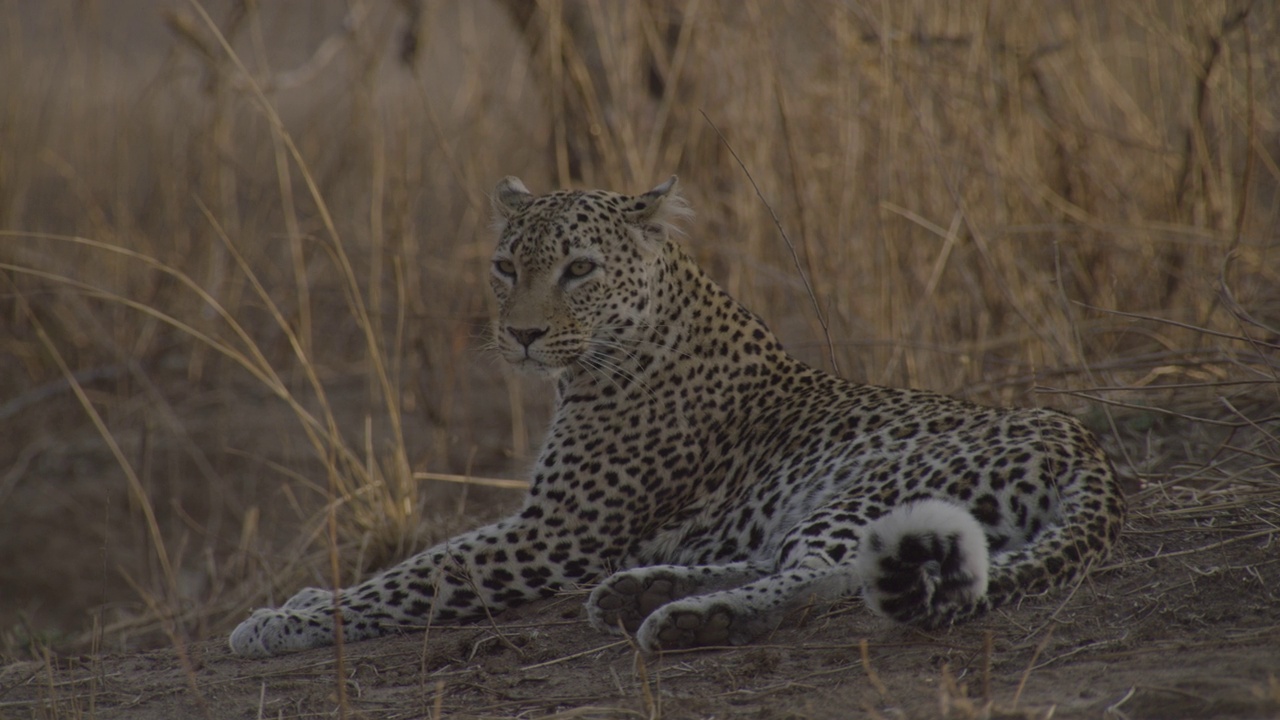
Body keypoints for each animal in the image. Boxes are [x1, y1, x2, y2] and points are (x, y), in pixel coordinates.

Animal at [227, 175, 1121, 655]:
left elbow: (418, 575)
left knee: (831, 575)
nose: (521, 334)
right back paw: (640, 591)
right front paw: (301, 600)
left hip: (871, 485)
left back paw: (696, 616)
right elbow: (417, 561)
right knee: (779, 557)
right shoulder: (546, 523)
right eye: (506, 266)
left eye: (580, 269)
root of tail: (1087, 446)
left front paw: (280, 622)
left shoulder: (556, 532)